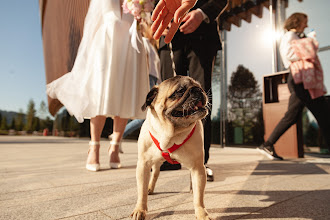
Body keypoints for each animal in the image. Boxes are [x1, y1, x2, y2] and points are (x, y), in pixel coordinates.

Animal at [131, 76, 210, 220]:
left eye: (199, 86)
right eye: (179, 91)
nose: (198, 89)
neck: (171, 135)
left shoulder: (198, 167)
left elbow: (199, 197)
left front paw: (201, 213)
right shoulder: (143, 165)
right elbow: (141, 191)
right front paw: (140, 209)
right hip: (155, 163)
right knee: (155, 173)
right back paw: (150, 188)